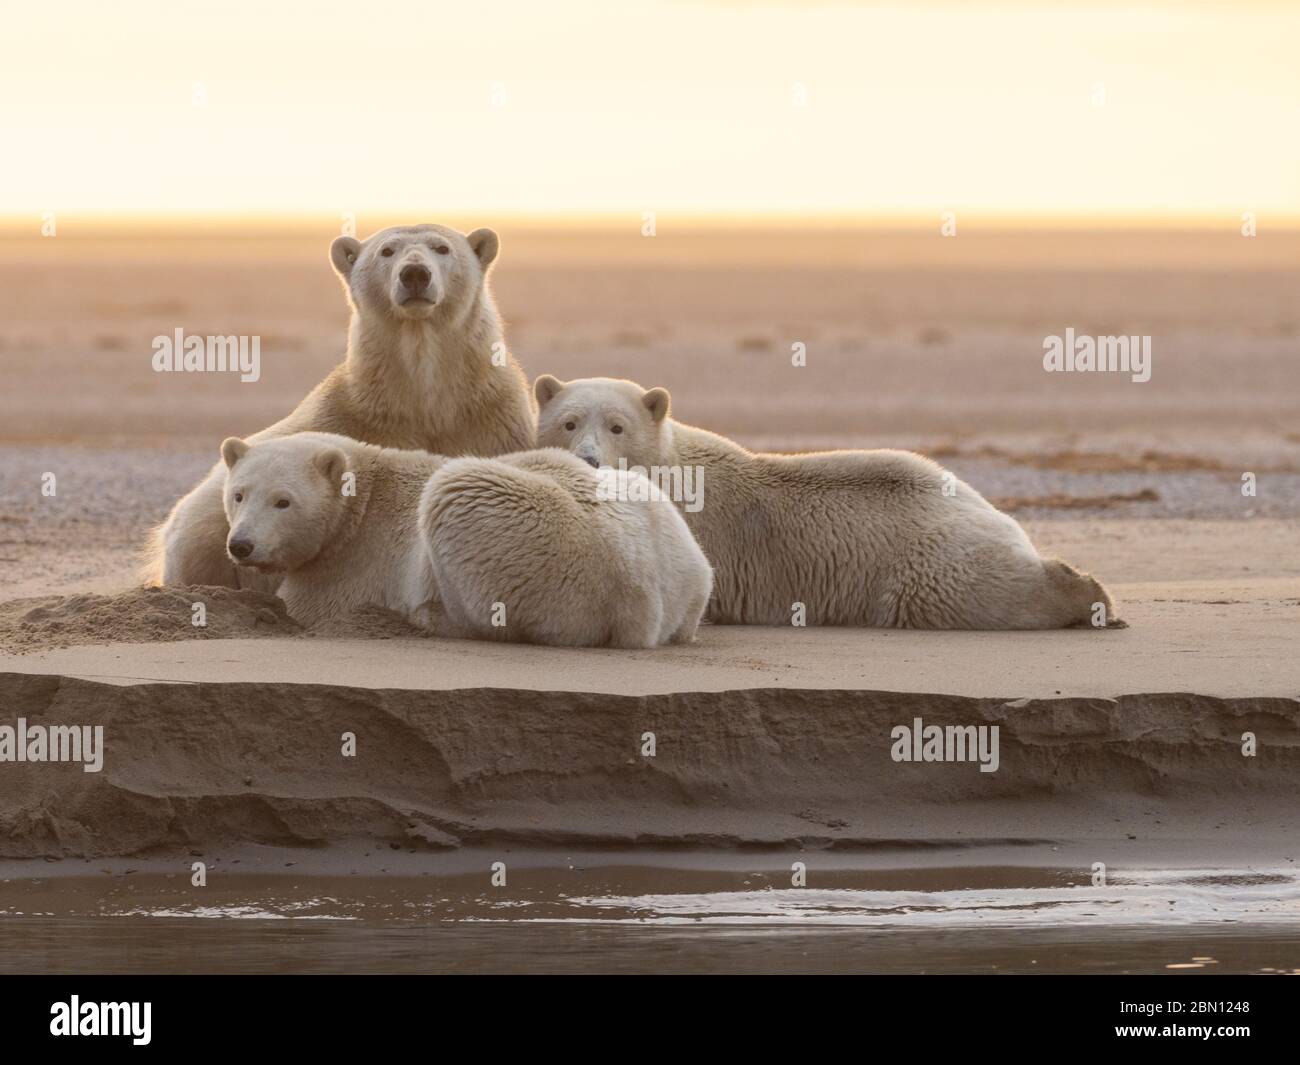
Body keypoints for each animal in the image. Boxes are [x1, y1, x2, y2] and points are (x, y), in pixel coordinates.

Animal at [149, 226, 535, 590]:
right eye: (387, 250)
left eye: (442, 247)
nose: (414, 274)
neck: (422, 399)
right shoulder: (341, 417)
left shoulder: (490, 420)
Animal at [220, 434, 712, 650]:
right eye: (239, 494)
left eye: (283, 501)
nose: (241, 545)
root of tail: (640, 592)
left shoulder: (353, 563)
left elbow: (306, 605)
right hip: (678, 552)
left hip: (548, 548)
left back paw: (426, 617)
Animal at [533, 374, 1123, 629]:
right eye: (569, 422)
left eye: (617, 425)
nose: (590, 459)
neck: (672, 463)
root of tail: (981, 506)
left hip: (925, 561)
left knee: (969, 593)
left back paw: (1087, 595)